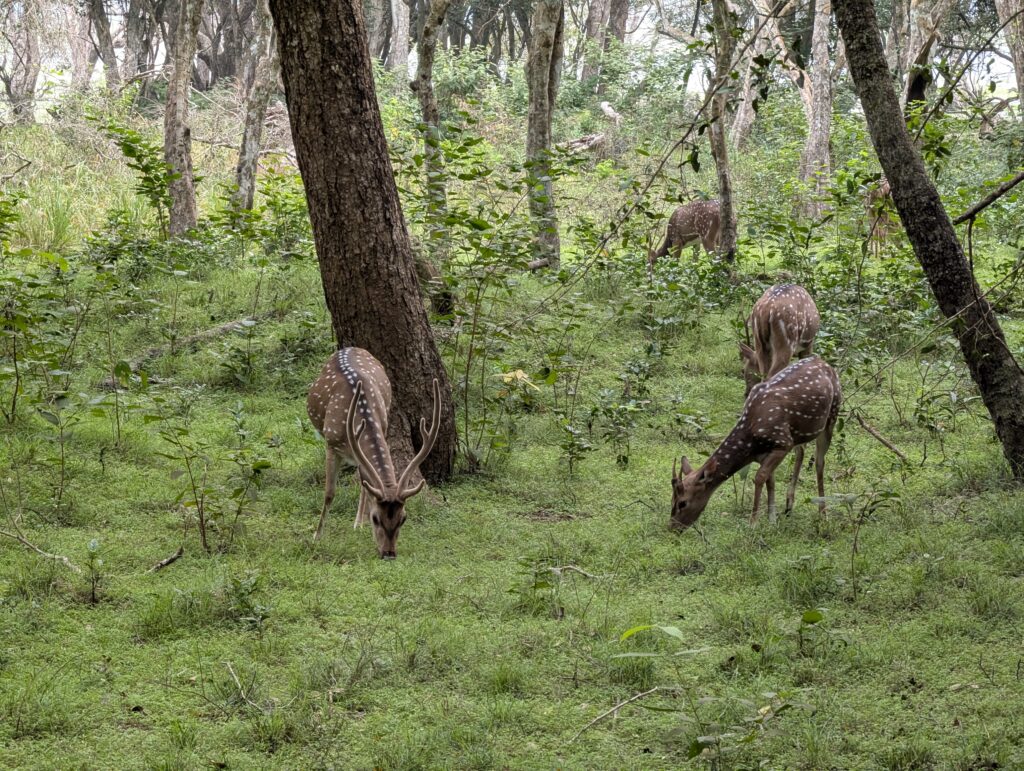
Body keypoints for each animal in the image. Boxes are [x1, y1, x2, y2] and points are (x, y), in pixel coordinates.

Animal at [307, 347, 441, 559]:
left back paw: (357, 523)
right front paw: (317, 536)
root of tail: (352, 347)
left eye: (403, 518)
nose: (389, 553)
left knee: (365, 484)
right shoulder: (330, 443)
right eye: (376, 518)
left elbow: (366, 486)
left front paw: (360, 525)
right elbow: (329, 493)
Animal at [670, 355, 841, 529]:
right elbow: (770, 481)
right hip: (801, 433)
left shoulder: (783, 443)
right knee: (801, 452)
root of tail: (822, 361)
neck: (751, 445)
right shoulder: (768, 452)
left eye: (683, 503)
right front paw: (772, 520)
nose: (672, 528)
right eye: (671, 499)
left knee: (819, 462)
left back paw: (823, 514)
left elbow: (759, 477)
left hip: (832, 414)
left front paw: (753, 523)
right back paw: (789, 506)